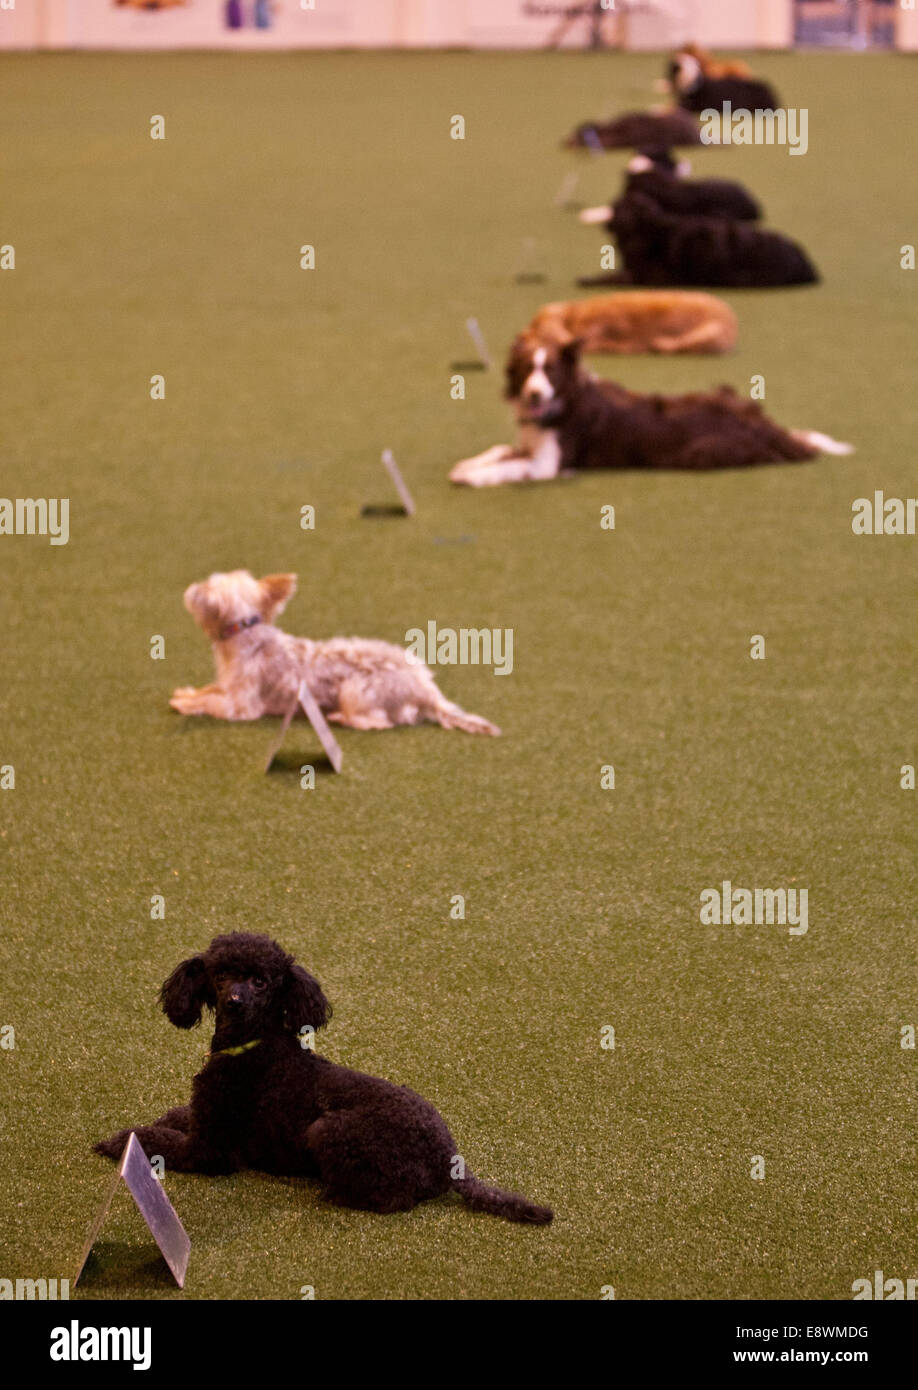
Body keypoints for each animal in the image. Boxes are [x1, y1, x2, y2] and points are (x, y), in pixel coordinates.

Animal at [96, 939, 553, 1223]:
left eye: (261, 980)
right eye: (221, 975)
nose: (235, 1001)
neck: (254, 1044)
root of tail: (451, 1160)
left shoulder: (211, 1150)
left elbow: (158, 1140)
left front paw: (119, 1142)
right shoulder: (204, 1116)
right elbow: (177, 1116)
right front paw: (162, 1119)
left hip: (327, 1129)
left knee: (397, 1199)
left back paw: (337, 1194)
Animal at [168, 567, 497, 739]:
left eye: (209, 585)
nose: (192, 587)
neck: (247, 634)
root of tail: (428, 691)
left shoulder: (241, 705)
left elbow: (211, 702)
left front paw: (186, 705)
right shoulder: (226, 684)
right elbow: (208, 689)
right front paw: (186, 694)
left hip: (355, 690)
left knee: (376, 722)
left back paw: (340, 717)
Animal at [447, 333, 851, 486]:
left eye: (551, 373)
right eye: (527, 371)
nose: (533, 395)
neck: (564, 401)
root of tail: (767, 425)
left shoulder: (548, 464)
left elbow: (511, 466)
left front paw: (472, 477)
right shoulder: (530, 443)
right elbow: (500, 450)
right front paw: (467, 465)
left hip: (703, 453)